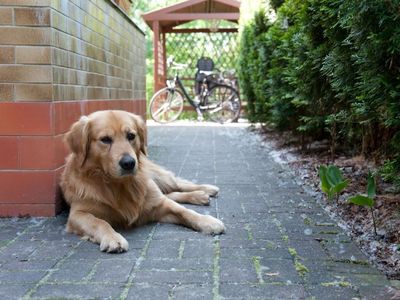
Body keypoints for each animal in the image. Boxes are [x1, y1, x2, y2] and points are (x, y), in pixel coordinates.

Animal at [61, 109, 227, 252]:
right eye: (105, 140)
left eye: (131, 136)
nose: (129, 163)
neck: (119, 185)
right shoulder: (78, 214)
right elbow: (100, 222)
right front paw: (113, 238)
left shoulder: (160, 204)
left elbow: (184, 211)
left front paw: (207, 221)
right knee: (171, 193)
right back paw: (200, 196)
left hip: (159, 178)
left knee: (178, 185)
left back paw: (206, 190)